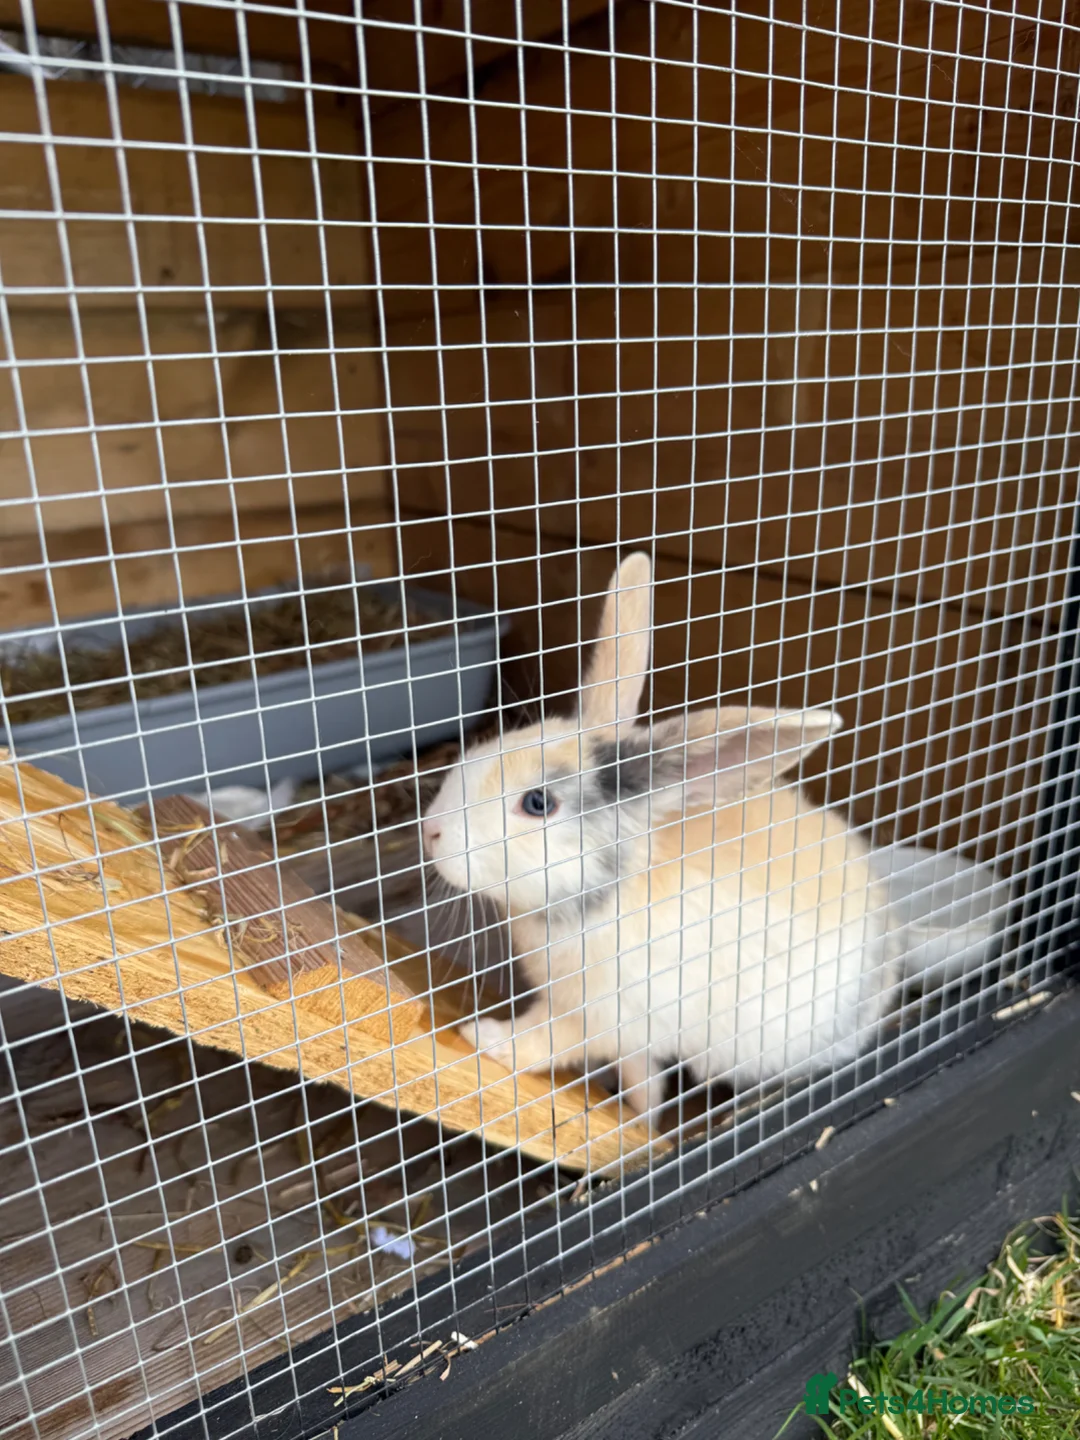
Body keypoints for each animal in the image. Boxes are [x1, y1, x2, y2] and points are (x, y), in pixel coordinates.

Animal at [421, 552, 903, 1118]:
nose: (430, 830)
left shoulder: (598, 1016)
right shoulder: (627, 1036)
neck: (603, 893)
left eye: (538, 803)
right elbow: (641, 1077)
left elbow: (542, 1040)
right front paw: (643, 1114)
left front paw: (484, 1036)